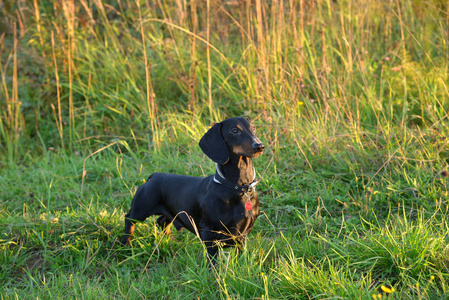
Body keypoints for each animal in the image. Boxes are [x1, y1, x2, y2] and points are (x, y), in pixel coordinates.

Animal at [121, 117, 264, 262]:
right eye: (234, 130)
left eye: (253, 128)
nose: (259, 146)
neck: (238, 188)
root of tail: (154, 176)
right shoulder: (209, 233)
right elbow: (212, 260)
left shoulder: (242, 236)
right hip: (140, 210)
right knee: (129, 220)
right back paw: (125, 246)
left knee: (162, 221)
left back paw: (172, 242)